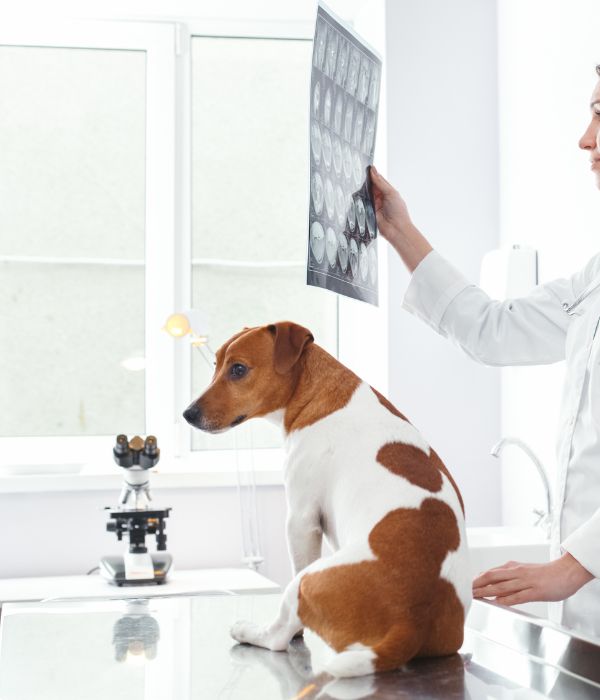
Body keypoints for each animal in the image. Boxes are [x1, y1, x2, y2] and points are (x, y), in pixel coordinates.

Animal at [183, 322, 468, 680]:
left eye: (238, 369)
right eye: (216, 365)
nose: (188, 414)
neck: (317, 393)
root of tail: (412, 619)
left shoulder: (301, 520)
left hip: (305, 580)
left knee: (278, 635)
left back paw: (251, 631)